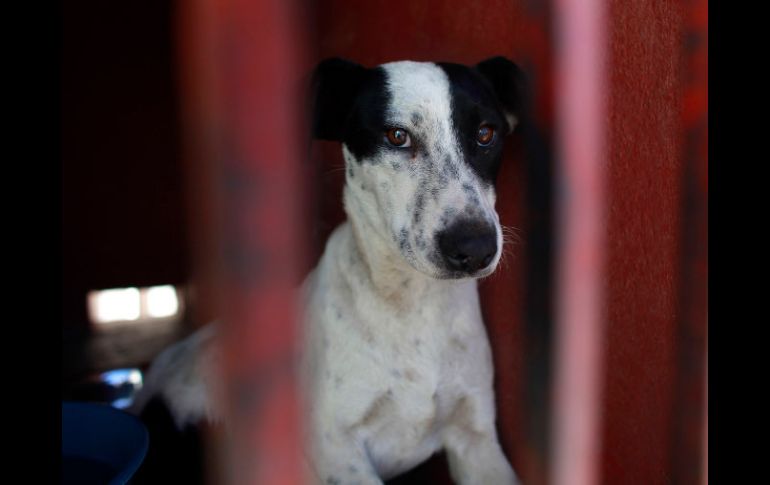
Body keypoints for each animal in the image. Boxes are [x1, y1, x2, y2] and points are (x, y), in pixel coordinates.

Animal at [134, 56, 528, 484]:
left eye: (486, 133)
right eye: (396, 136)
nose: (474, 248)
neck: (411, 306)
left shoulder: (477, 438)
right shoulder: (337, 453)